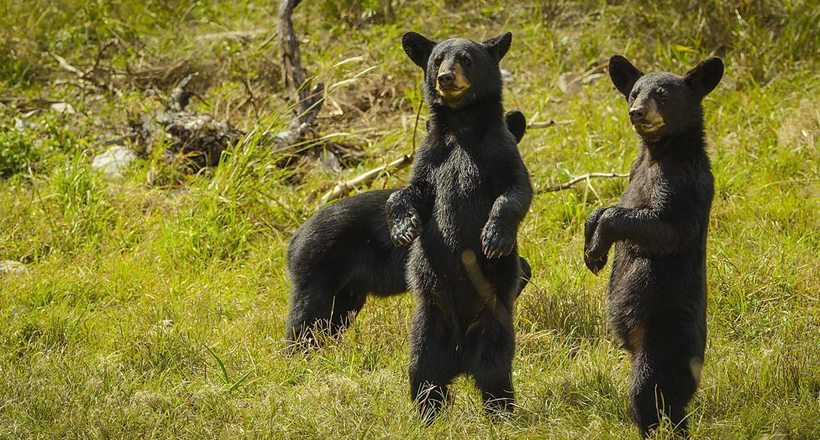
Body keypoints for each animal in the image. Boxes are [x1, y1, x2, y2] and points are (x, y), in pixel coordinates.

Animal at [390, 31, 536, 422]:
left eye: (467, 59)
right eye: (438, 60)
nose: (445, 78)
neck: (462, 126)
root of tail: (459, 355)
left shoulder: (500, 149)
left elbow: (515, 190)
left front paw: (494, 237)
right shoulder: (431, 155)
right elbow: (411, 191)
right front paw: (403, 228)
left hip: (493, 323)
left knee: (495, 371)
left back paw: (501, 414)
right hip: (427, 323)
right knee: (422, 372)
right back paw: (426, 415)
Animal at [584, 55, 724, 436]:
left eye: (661, 94)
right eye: (634, 91)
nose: (636, 112)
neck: (658, 153)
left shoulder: (682, 183)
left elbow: (662, 225)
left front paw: (597, 247)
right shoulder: (634, 171)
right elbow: (609, 205)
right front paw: (590, 247)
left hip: (664, 337)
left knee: (650, 394)